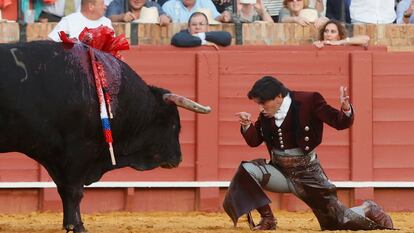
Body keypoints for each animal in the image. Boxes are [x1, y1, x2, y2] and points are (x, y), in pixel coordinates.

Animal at [0, 41, 210, 232]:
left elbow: (64, 189)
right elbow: (74, 191)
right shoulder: (77, 152)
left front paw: (70, 224)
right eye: (174, 124)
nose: (178, 158)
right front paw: (78, 227)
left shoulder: (57, 158)